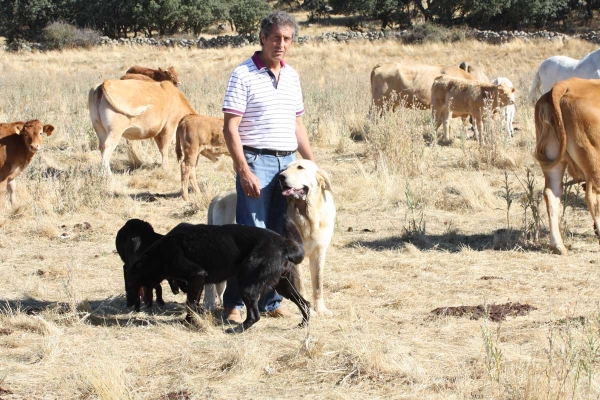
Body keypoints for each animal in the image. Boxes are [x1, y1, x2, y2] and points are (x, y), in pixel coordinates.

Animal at [206, 159, 336, 316]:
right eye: (285, 169)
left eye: (300, 167)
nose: (281, 177)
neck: (308, 215)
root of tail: (218, 196)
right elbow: (301, 286)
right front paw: (308, 311)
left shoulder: (319, 253)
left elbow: (318, 283)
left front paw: (321, 309)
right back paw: (211, 304)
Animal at [536, 77, 600, 253]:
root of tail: (565, 84)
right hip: (593, 160)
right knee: (592, 197)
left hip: (553, 161)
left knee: (551, 194)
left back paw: (558, 245)